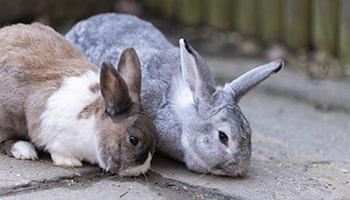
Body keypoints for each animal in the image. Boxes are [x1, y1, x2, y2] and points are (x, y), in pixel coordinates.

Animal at [0, 22, 156, 177]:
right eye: (133, 140)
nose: (142, 169)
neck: (93, 125)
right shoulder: (50, 131)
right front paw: (70, 162)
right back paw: (24, 150)